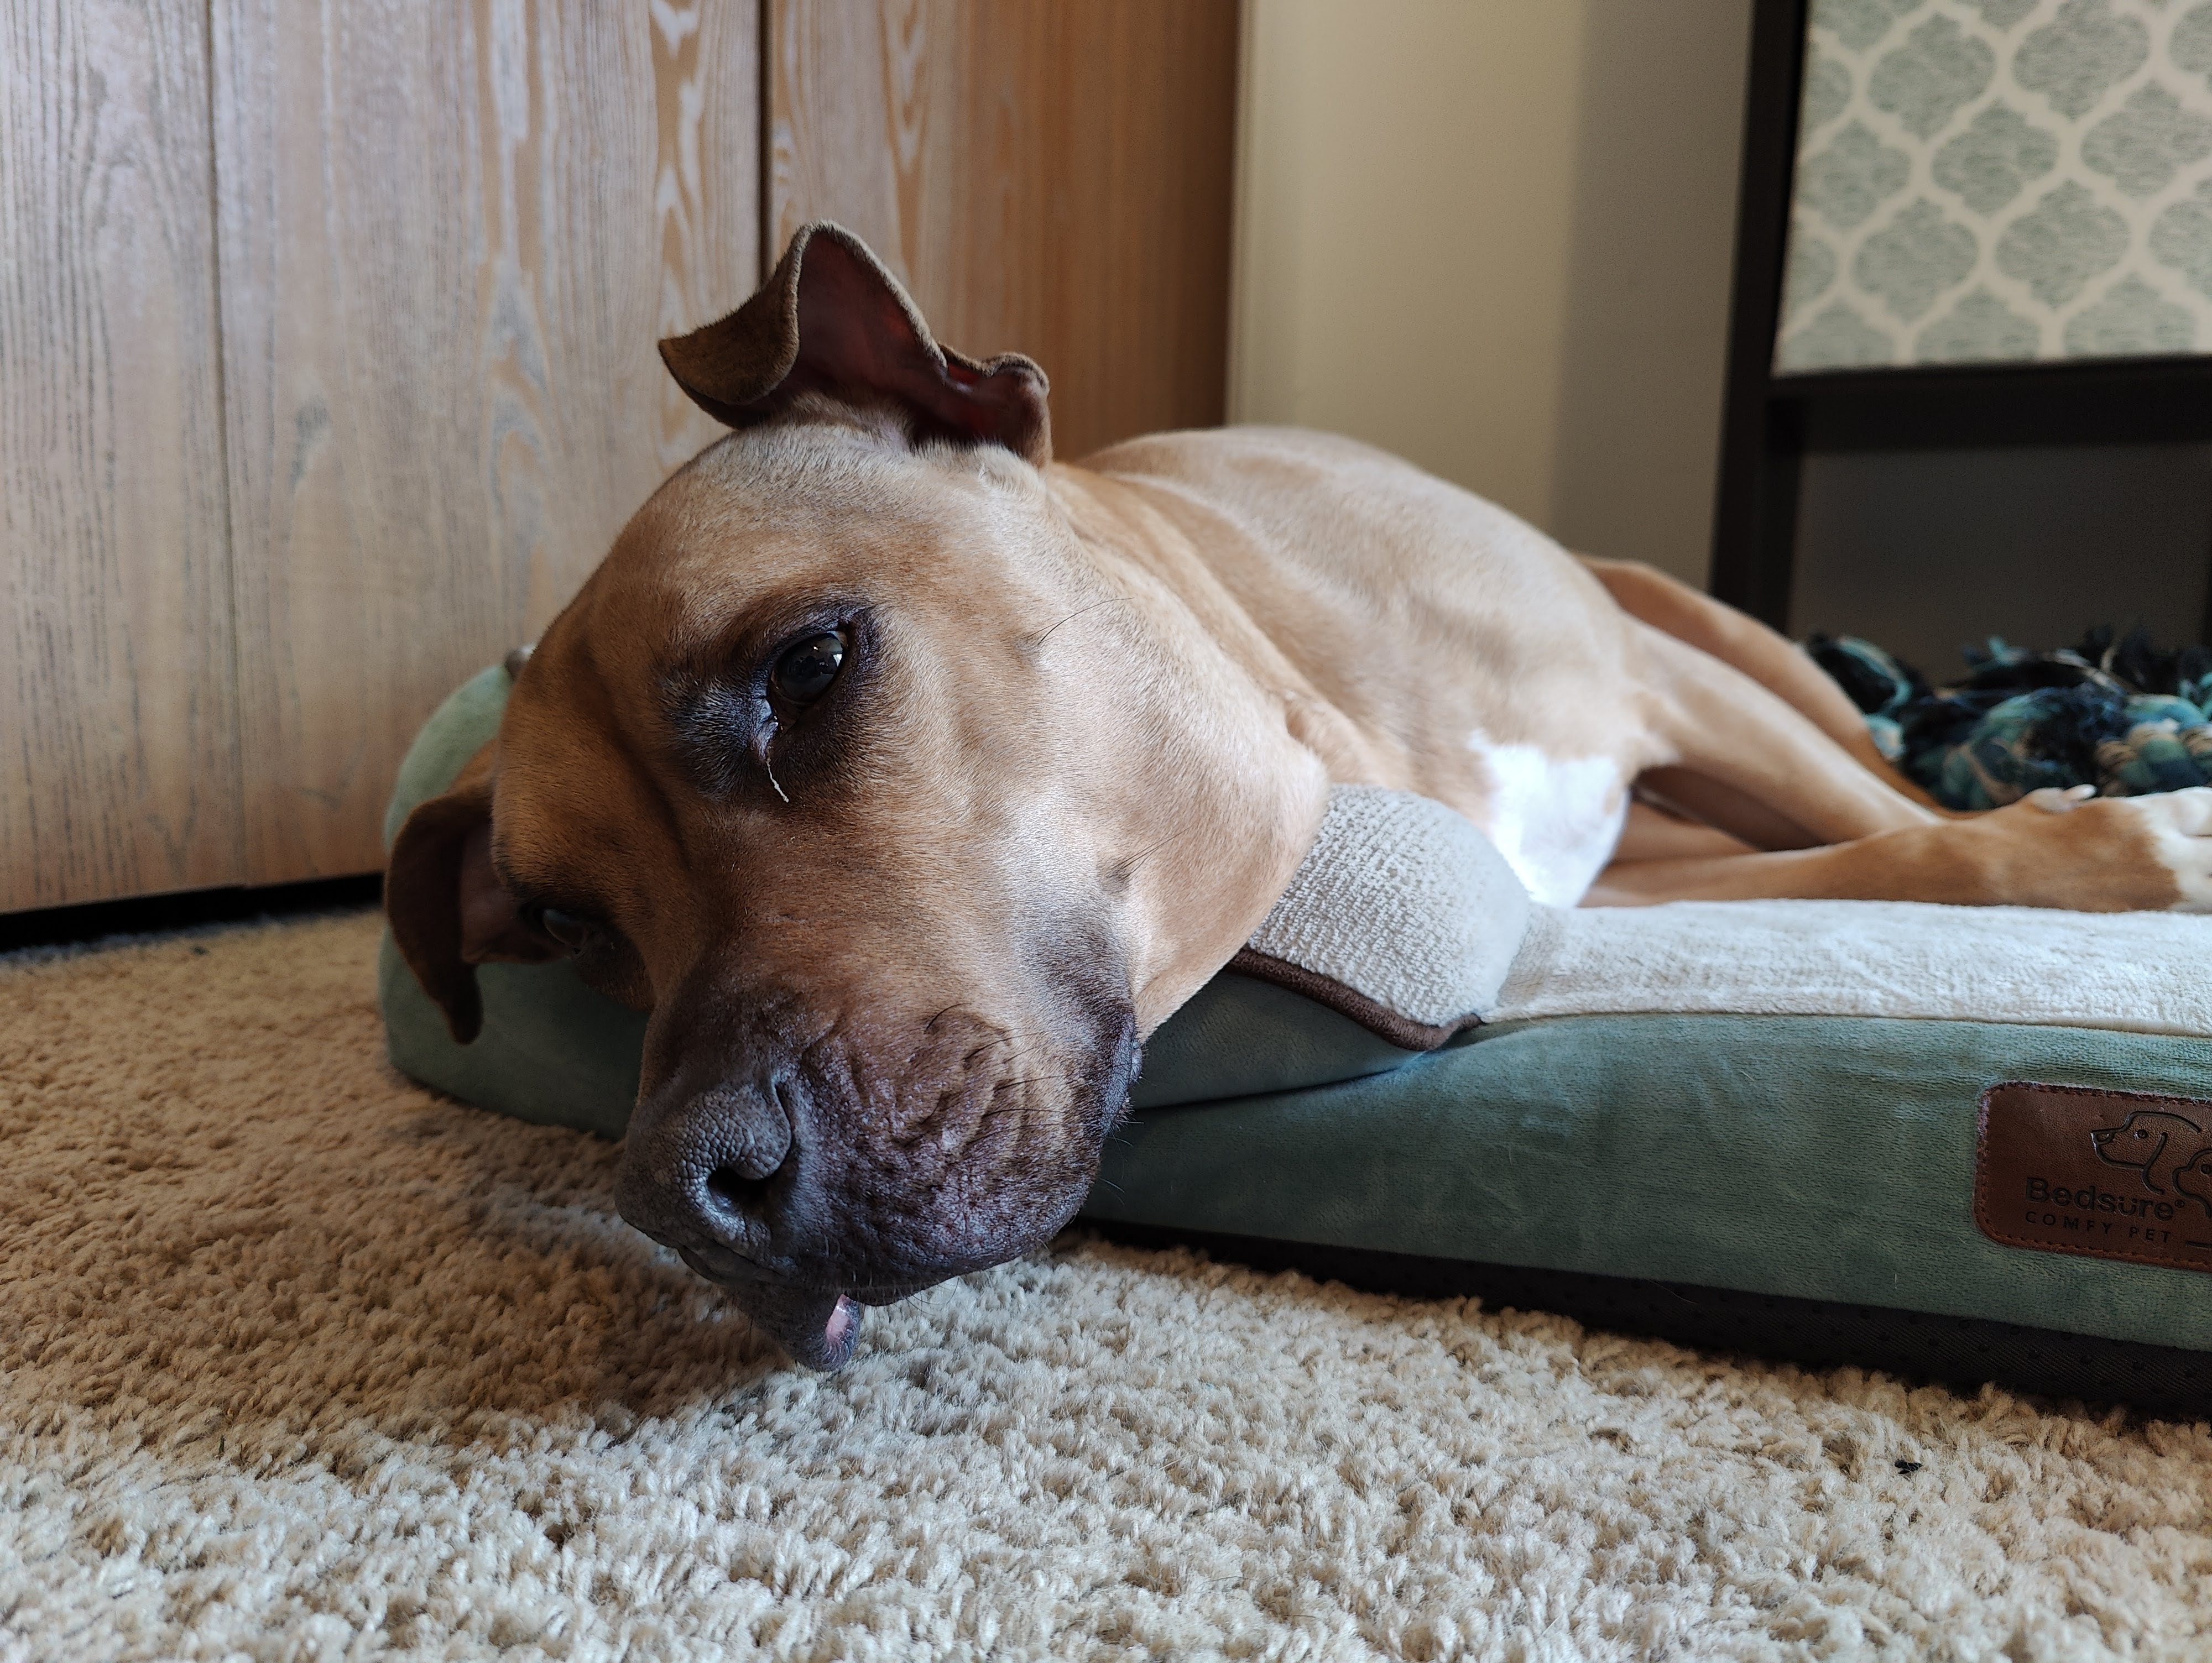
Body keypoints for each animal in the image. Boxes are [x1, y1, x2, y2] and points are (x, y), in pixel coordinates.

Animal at [389, 221, 2212, 1362]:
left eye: (810, 669)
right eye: (562, 920)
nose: (680, 1196)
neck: (1312, 683)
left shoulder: (1665, 693)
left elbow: (1924, 842)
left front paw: (2122, 831)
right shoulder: (1605, 877)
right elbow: (1881, 859)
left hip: (1721, 644)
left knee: (1871, 753)